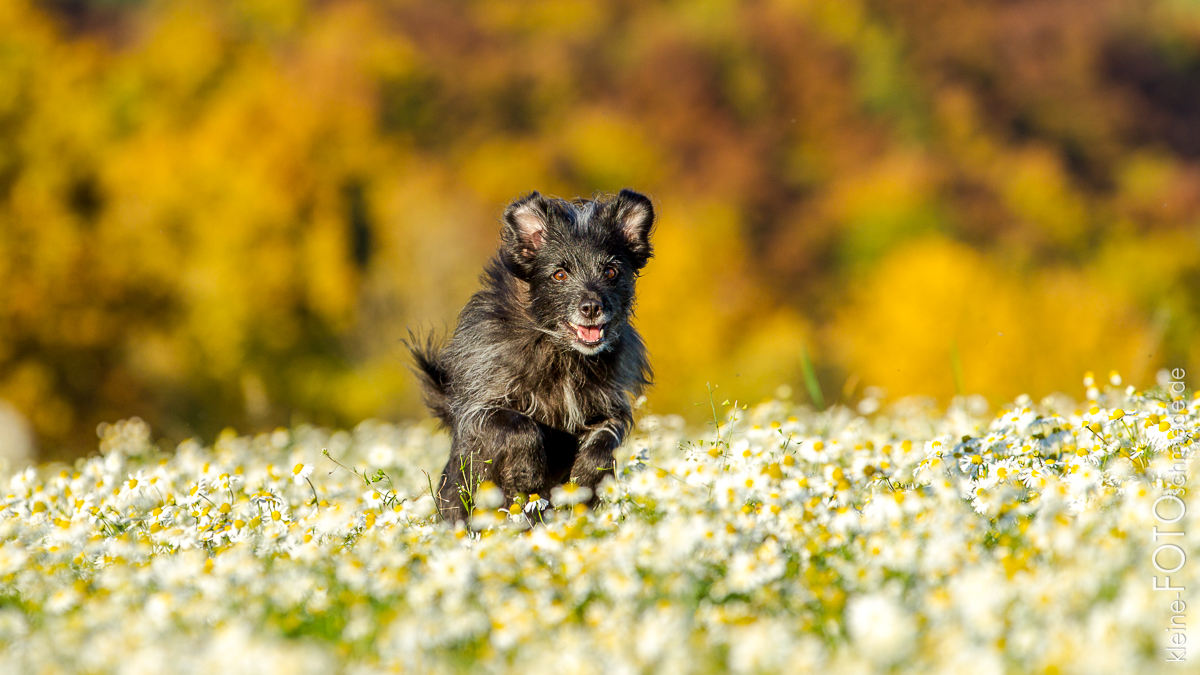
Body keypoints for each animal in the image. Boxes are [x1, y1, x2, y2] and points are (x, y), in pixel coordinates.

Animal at [412, 189, 657, 526]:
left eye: (611, 271)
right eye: (559, 274)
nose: (592, 307)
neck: (561, 352)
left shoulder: (609, 408)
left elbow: (605, 440)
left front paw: (584, 477)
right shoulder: (482, 408)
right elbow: (519, 427)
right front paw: (527, 474)